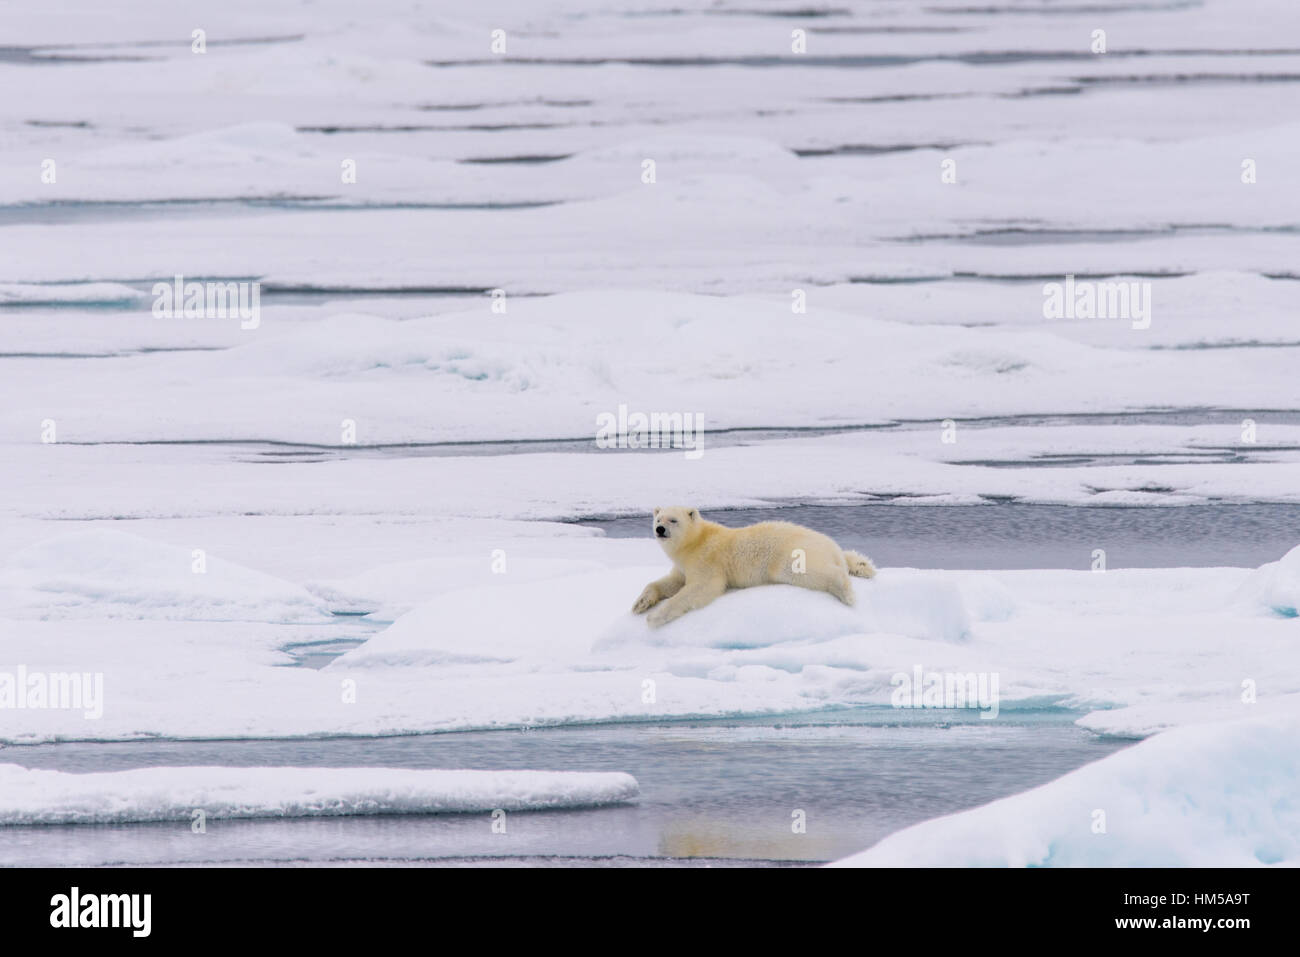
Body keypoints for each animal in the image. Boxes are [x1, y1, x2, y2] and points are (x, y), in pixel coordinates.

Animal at [626, 504, 873, 631]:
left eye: (673, 520)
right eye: (658, 518)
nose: (659, 529)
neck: (695, 541)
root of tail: (832, 545)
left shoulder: (707, 559)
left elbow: (700, 587)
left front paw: (654, 618)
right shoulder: (683, 565)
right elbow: (672, 581)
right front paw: (640, 604)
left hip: (789, 554)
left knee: (811, 572)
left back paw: (846, 592)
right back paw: (862, 565)